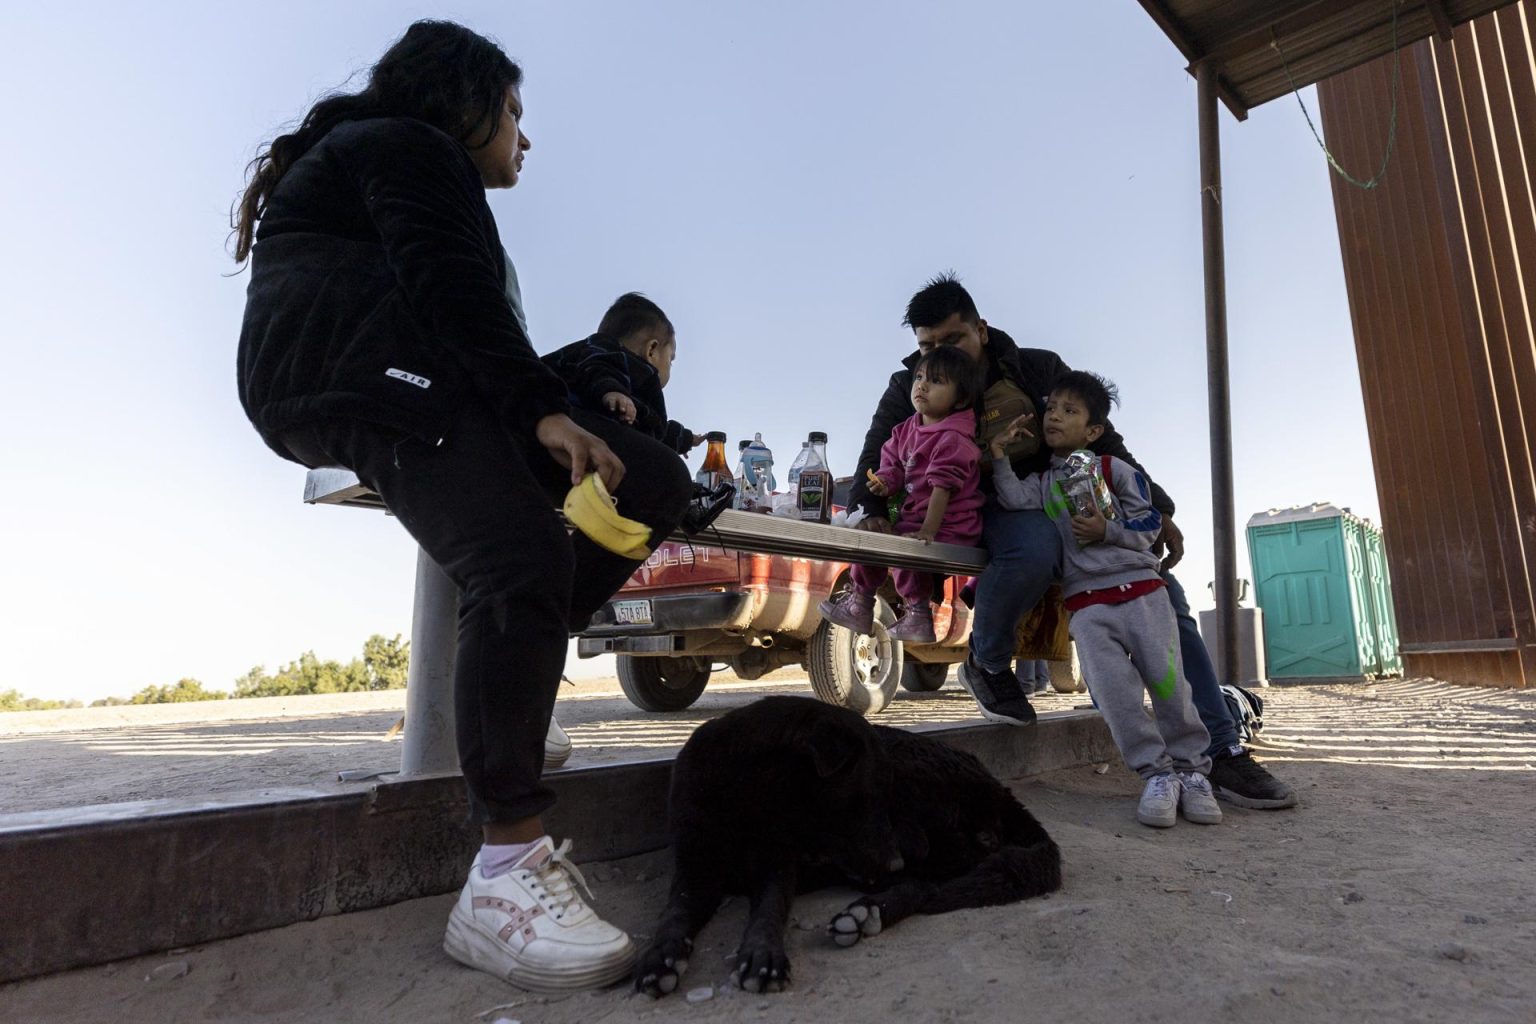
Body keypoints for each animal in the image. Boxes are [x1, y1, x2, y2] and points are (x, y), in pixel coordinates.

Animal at [632, 696, 1056, 994]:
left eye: (881, 797)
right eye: (866, 798)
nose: (895, 861)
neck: (749, 792)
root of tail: (1001, 791)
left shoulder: (776, 865)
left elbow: (769, 910)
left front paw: (762, 957)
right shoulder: (695, 869)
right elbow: (674, 914)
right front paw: (661, 959)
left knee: (931, 882)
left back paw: (869, 910)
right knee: (927, 882)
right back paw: (871, 911)